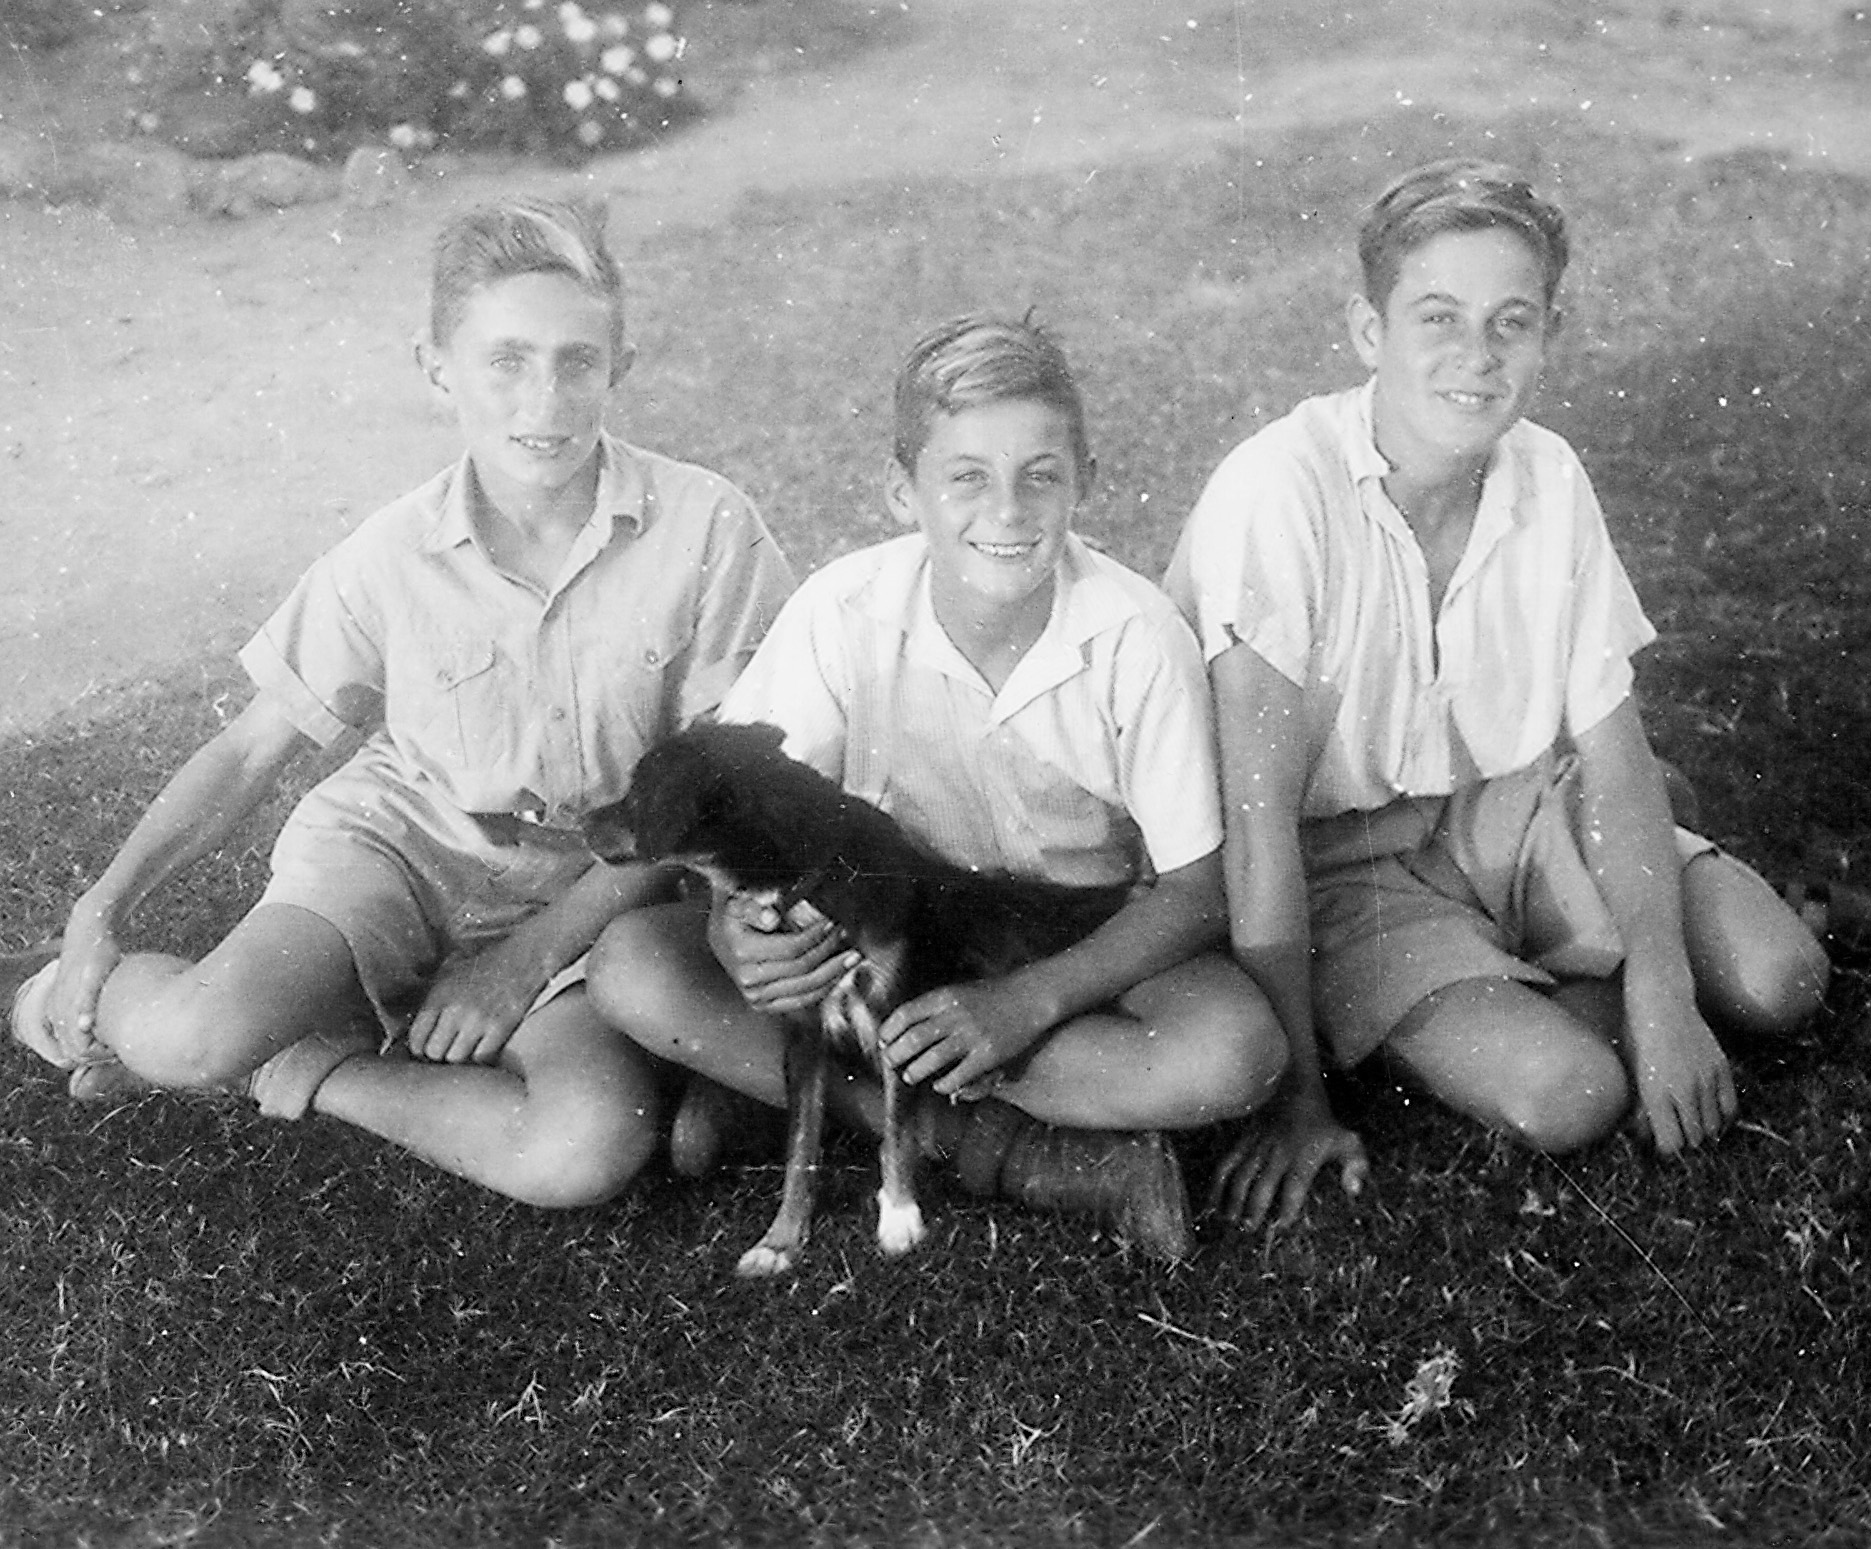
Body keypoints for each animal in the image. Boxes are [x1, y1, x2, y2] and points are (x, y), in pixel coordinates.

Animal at [583, 718, 1130, 1279]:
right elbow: (802, 1145)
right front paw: (781, 1238)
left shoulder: (896, 1013)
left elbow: (895, 1130)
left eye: (636, 795)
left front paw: (899, 1219)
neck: (809, 876)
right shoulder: (804, 1029)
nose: (581, 822)